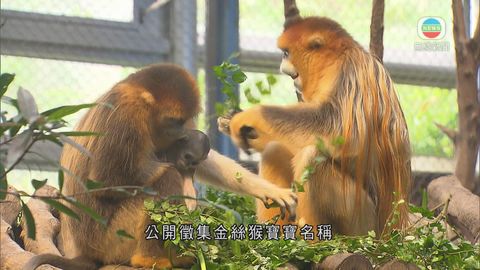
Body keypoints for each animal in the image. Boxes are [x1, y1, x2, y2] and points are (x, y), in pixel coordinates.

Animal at [219, 0, 410, 236]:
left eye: (285, 53)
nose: (283, 68)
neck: (336, 58)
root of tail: (391, 228)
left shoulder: (348, 73)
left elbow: (338, 131)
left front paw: (248, 116)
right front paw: (233, 121)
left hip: (361, 221)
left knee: (312, 155)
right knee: (276, 150)